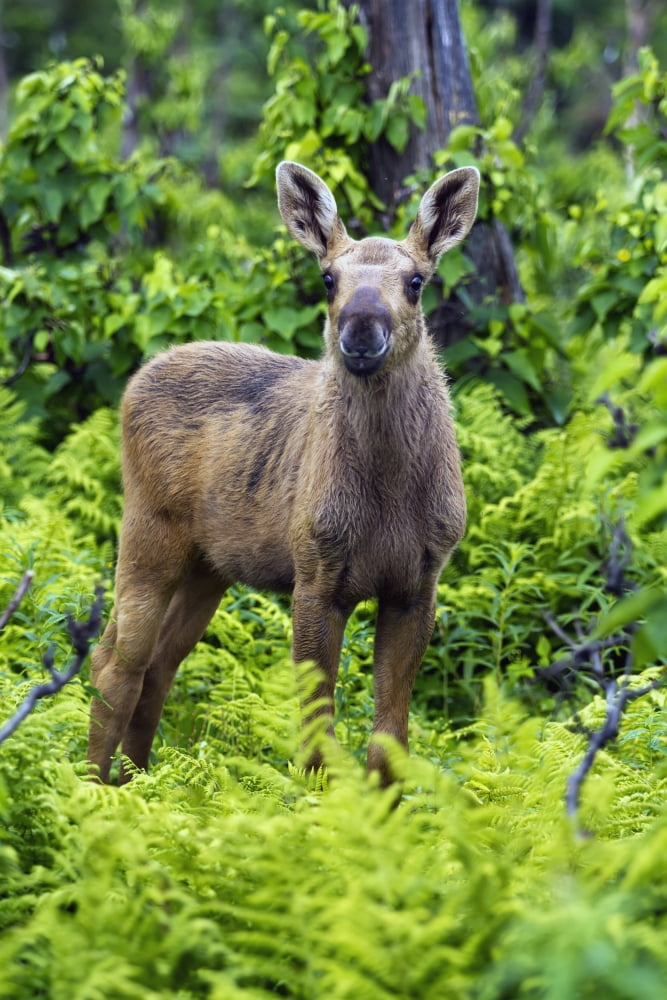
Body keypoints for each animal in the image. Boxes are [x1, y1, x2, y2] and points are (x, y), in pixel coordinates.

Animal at [87, 160, 480, 788]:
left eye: (417, 280)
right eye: (328, 278)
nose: (361, 329)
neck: (390, 494)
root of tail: (135, 380)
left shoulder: (418, 584)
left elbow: (389, 742)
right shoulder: (315, 575)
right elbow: (317, 741)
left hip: (210, 565)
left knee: (155, 665)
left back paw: (135, 779)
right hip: (150, 530)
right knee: (116, 664)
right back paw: (96, 785)